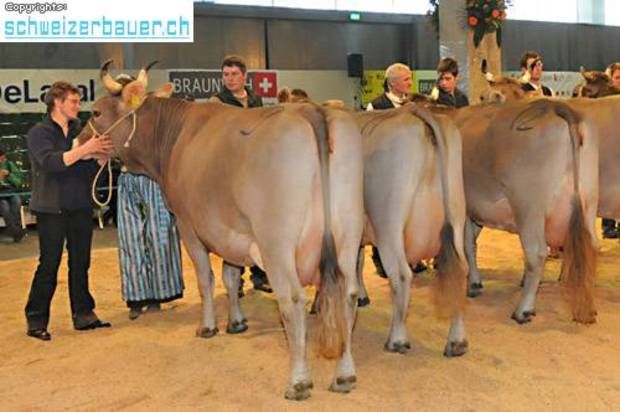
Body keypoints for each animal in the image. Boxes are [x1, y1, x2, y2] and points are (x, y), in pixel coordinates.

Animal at [77, 61, 365, 400]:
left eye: (96, 112)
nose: (78, 142)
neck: (175, 136)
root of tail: (311, 111)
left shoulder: (187, 225)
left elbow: (206, 279)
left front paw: (208, 327)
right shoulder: (231, 232)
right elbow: (230, 276)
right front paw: (236, 322)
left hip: (277, 243)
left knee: (293, 299)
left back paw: (298, 381)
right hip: (348, 234)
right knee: (347, 294)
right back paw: (344, 376)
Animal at [352, 105, 469, 356]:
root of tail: (416, 112)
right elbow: (357, 262)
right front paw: (361, 296)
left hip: (389, 223)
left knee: (402, 274)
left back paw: (397, 339)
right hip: (457, 216)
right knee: (460, 271)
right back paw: (457, 341)